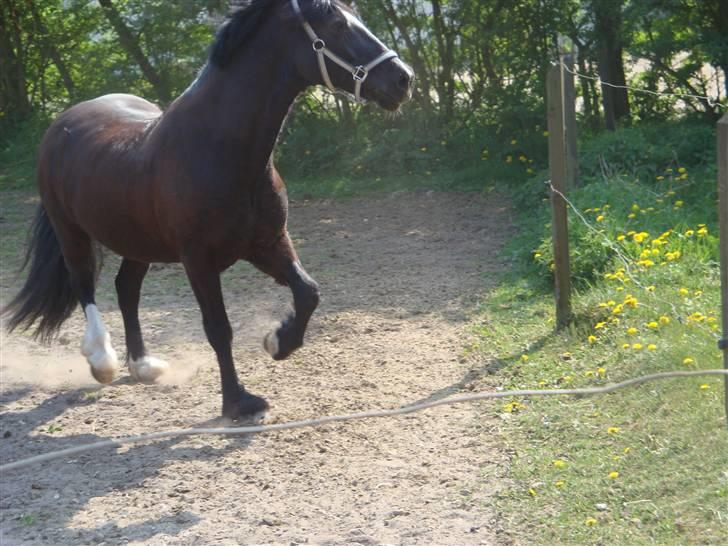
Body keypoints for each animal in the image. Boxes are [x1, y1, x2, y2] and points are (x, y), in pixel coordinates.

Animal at [4, 0, 416, 420]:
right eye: (336, 24)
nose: (403, 79)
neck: (219, 150)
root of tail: (63, 122)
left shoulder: (267, 243)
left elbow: (308, 292)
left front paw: (277, 342)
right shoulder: (198, 259)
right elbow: (218, 327)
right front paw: (238, 401)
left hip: (138, 241)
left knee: (126, 289)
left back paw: (143, 365)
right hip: (70, 230)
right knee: (84, 283)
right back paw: (103, 361)